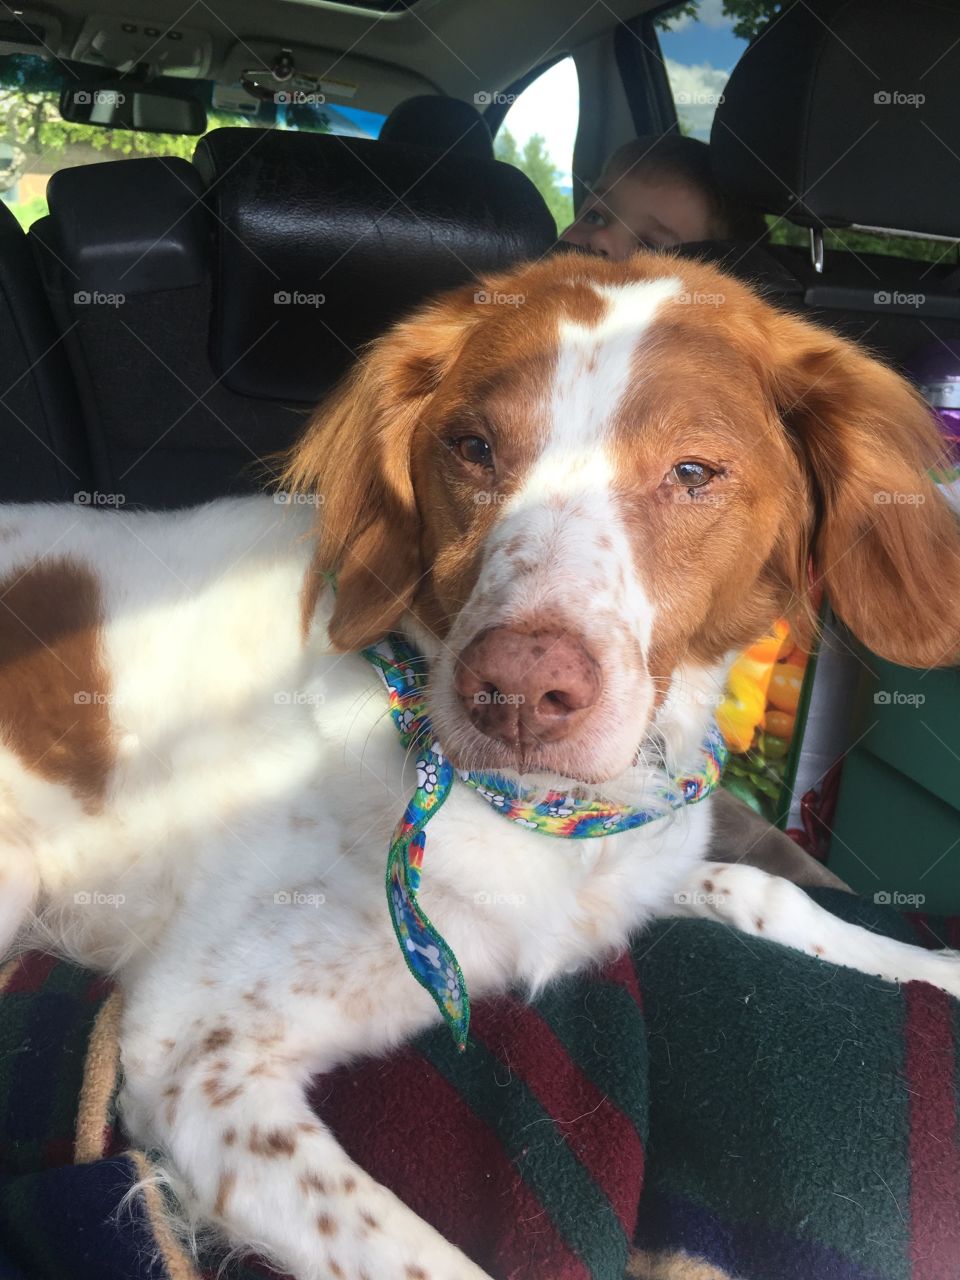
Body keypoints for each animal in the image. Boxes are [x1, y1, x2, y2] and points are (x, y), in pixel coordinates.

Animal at [1, 252, 960, 1280]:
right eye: (471, 448)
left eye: (694, 472)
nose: (517, 691)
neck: (542, 809)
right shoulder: (193, 1051)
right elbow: (432, 1260)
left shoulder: (614, 881)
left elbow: (765, 891)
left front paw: (931, 965)